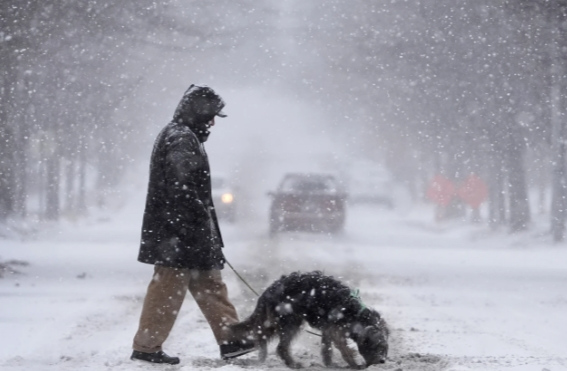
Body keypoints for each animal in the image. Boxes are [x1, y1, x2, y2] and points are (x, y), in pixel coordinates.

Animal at [229, 270, 388, 370]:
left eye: (385, 347)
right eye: (377, 346)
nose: (382, 361)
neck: (356, 314)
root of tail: (268, 290)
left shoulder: (328, 328)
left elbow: (326, 347)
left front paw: (329, 364)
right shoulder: (336, 330)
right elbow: (344, 348)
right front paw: (354, 364)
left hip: (274, 320)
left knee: (261, 335)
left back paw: (261, 355)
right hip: (290, 320)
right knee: (281, 346)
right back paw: (293, 364)